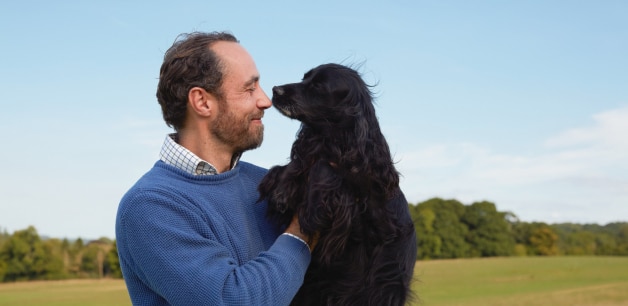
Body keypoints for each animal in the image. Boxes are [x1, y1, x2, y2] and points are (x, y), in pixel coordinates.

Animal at [258, 63, 420, 304]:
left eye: (318, 85)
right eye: (304, 78)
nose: (275, 90)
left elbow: (324, 166)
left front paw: (311, 207)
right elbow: (294, 164)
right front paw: (283, 188)